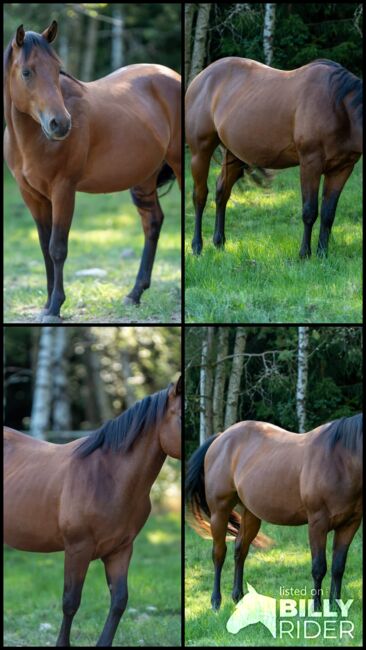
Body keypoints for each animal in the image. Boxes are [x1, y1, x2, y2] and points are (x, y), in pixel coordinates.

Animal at [2, 20, 180, 322]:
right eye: (26, 72)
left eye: (57, 69)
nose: (60, 124)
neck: (32, 139)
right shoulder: (32, 196)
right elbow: (44, 247)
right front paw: (46, 305)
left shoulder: (63, 190)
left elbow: (57, 248)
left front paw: (55, 307)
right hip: (143, 180)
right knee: (152, 222)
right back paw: (134, 293)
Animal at [4, 374, 182, 644]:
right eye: (181, 416)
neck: (109, 477)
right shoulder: (78, 548)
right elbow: (70, 602)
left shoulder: (121, 550)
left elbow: (119, 601)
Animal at [186, 57, 364, 256]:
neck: (338, 108)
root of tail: (201, 78)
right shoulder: (310, 164)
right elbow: (309, 211)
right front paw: (304, 254)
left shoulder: (342, 169)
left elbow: (328, 214)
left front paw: (322, 254)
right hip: (200, 152)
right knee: (200, 196)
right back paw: (197, 246)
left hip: (234, 155)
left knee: (222, 193)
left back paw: (219, 243)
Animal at [186, 412, 364, 612]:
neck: (339, 460)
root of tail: (220, 438)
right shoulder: (317, 524)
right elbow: (319, 567)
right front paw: (317, 608)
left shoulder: (350, 524)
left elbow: (338, 567)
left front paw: (336, 607)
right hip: (219, 511)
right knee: (219, 553)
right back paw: (216, 602)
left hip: (250, 514)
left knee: (240, 550)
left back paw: (238, 598)